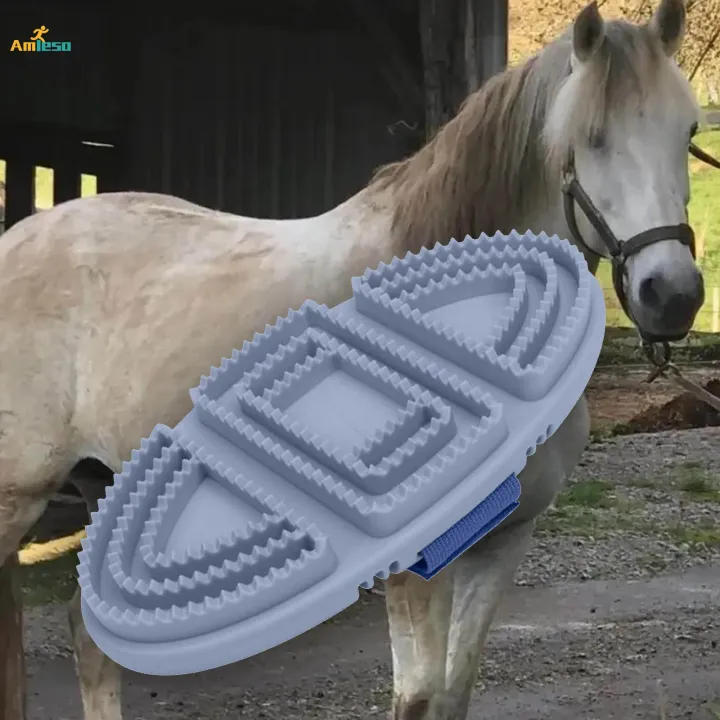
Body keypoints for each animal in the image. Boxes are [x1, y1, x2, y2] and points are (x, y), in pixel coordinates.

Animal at [0, 1, 705, 718]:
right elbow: (417, 699)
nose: (672, 294)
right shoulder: (419, 560)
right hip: (17, 497)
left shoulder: (501, 544)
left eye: (688, 132)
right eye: (592, 138)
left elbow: (454, 692)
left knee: (86, 639)